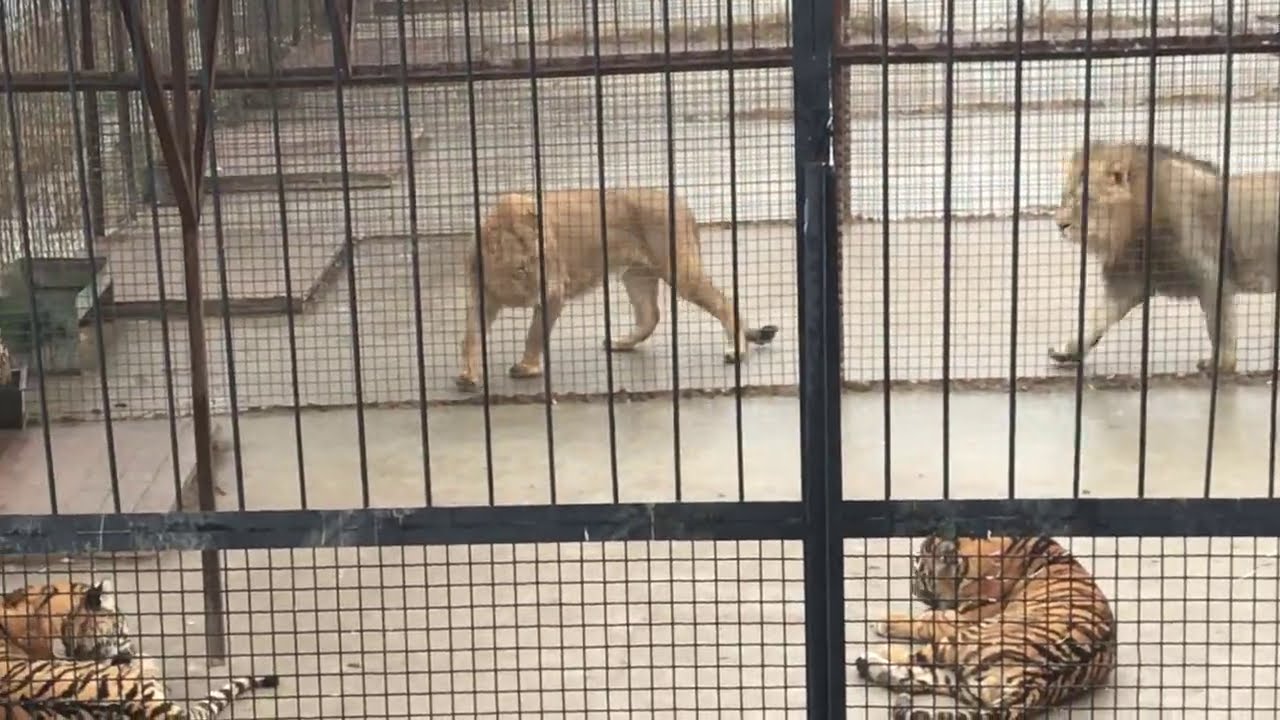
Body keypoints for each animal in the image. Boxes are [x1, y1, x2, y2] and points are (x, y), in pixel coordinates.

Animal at [458, 184, 778, 386]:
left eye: (547, 255)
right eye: (523, 265)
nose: (550, 285)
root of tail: (681, 203)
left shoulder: (553, 298)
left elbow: (534, 334)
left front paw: (527, 367)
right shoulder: (483, 297)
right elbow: (471, 334)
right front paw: (468, 375)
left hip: (680, 271)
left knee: (725, 302)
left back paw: (737, 351)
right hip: (636, 275)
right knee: (650, 316)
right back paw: (620, 343)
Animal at [855, 532, 1116, 717]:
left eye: (921, 574)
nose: (914, 591)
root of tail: (1035, 682)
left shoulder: (962, 619)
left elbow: (924, 620)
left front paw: (884, 621)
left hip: (963, 641)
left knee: (915, 663)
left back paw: (874, 655)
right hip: (965, 683)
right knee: (916, 678)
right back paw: (871, 667)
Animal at [1049, 141, 1280, 376]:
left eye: (1087, 200)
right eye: (1065, 197)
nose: (1060, 225)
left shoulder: (1211, 276)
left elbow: (1219, 325)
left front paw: (1222, 364)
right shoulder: (1129, 281)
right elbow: (1098, 317)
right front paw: (1069, 350)